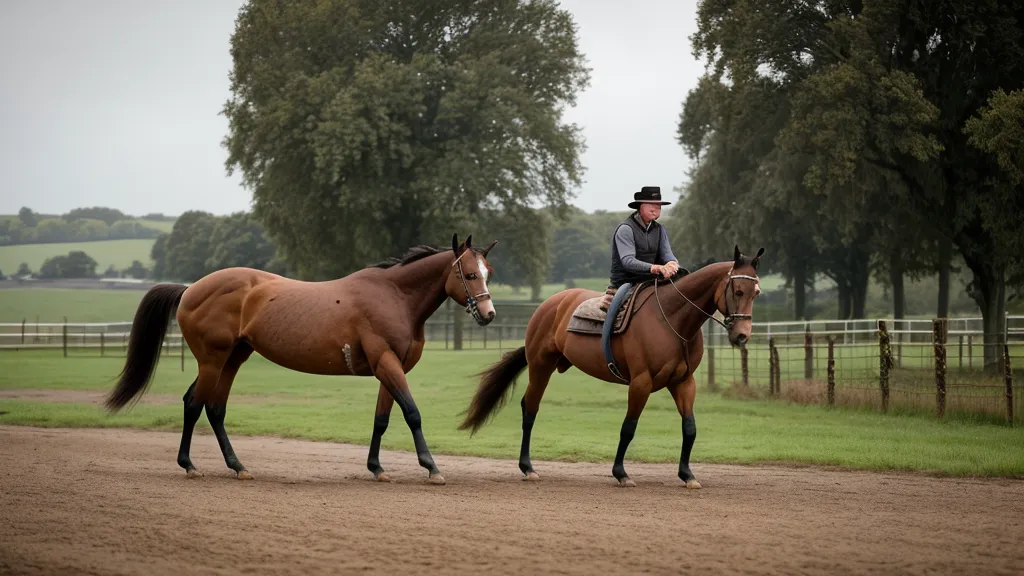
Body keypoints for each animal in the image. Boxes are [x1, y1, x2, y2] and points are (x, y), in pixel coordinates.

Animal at [105, 233, 497, 485]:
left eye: (488, 272)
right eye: (469, 273)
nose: (489, 314)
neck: (394, 296)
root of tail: (190, 290)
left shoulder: (389, 367)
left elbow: (382, 419)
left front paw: (376, 467)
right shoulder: (387, 363)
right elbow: (412, 413)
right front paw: (431, 467)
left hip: (233, 359)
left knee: (213, 408)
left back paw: (237, 466)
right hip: (212, 361)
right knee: (194, 404)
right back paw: (189, 465)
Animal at [459, 245, 764, 489]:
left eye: (756, 293)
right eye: (738, 290)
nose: (742, 336)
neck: (672, 319)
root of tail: (551, 304)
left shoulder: (684, 382)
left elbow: (689, 428)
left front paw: (687, 475)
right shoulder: (641, 383)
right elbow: (628, 428)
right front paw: (621, 473)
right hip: (540, 367)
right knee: (530, 409)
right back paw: (528, 467)